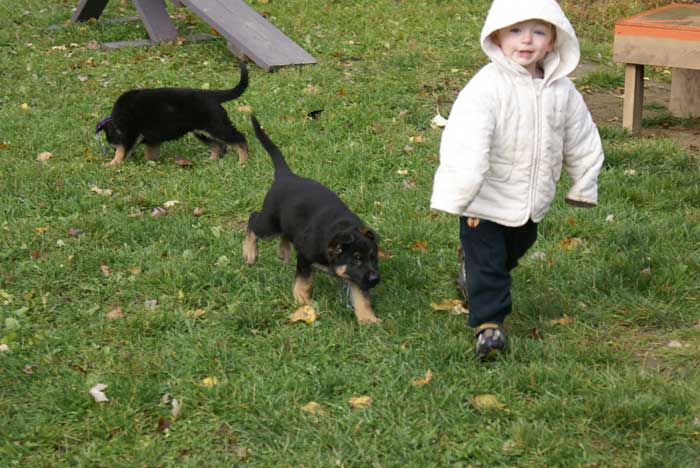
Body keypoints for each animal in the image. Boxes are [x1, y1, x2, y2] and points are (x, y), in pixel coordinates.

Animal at [97, 60, 250, 166]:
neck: (117, 121)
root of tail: (212, 95)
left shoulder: (130, 134)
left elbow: (121, 151)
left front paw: (112, 164)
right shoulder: (151, 139)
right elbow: (150, 153)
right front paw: (149, 162)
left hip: (216, 126)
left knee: (240, 139)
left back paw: (243, 161)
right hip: (202, 131)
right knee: (217, 145)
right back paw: (211, 160)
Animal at [243, 115, 380, 324]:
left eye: (373, 257)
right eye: (356, 259)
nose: (375, 279)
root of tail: (286, 175)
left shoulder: (356, 278)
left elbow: (361, 297)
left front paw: (368, 320)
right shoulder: (305, 258)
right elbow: (304, 281)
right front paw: (302, 301)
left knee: (285, 233)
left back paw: (283, 252)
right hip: (269, 223)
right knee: (252, 219)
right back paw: (250, 253)